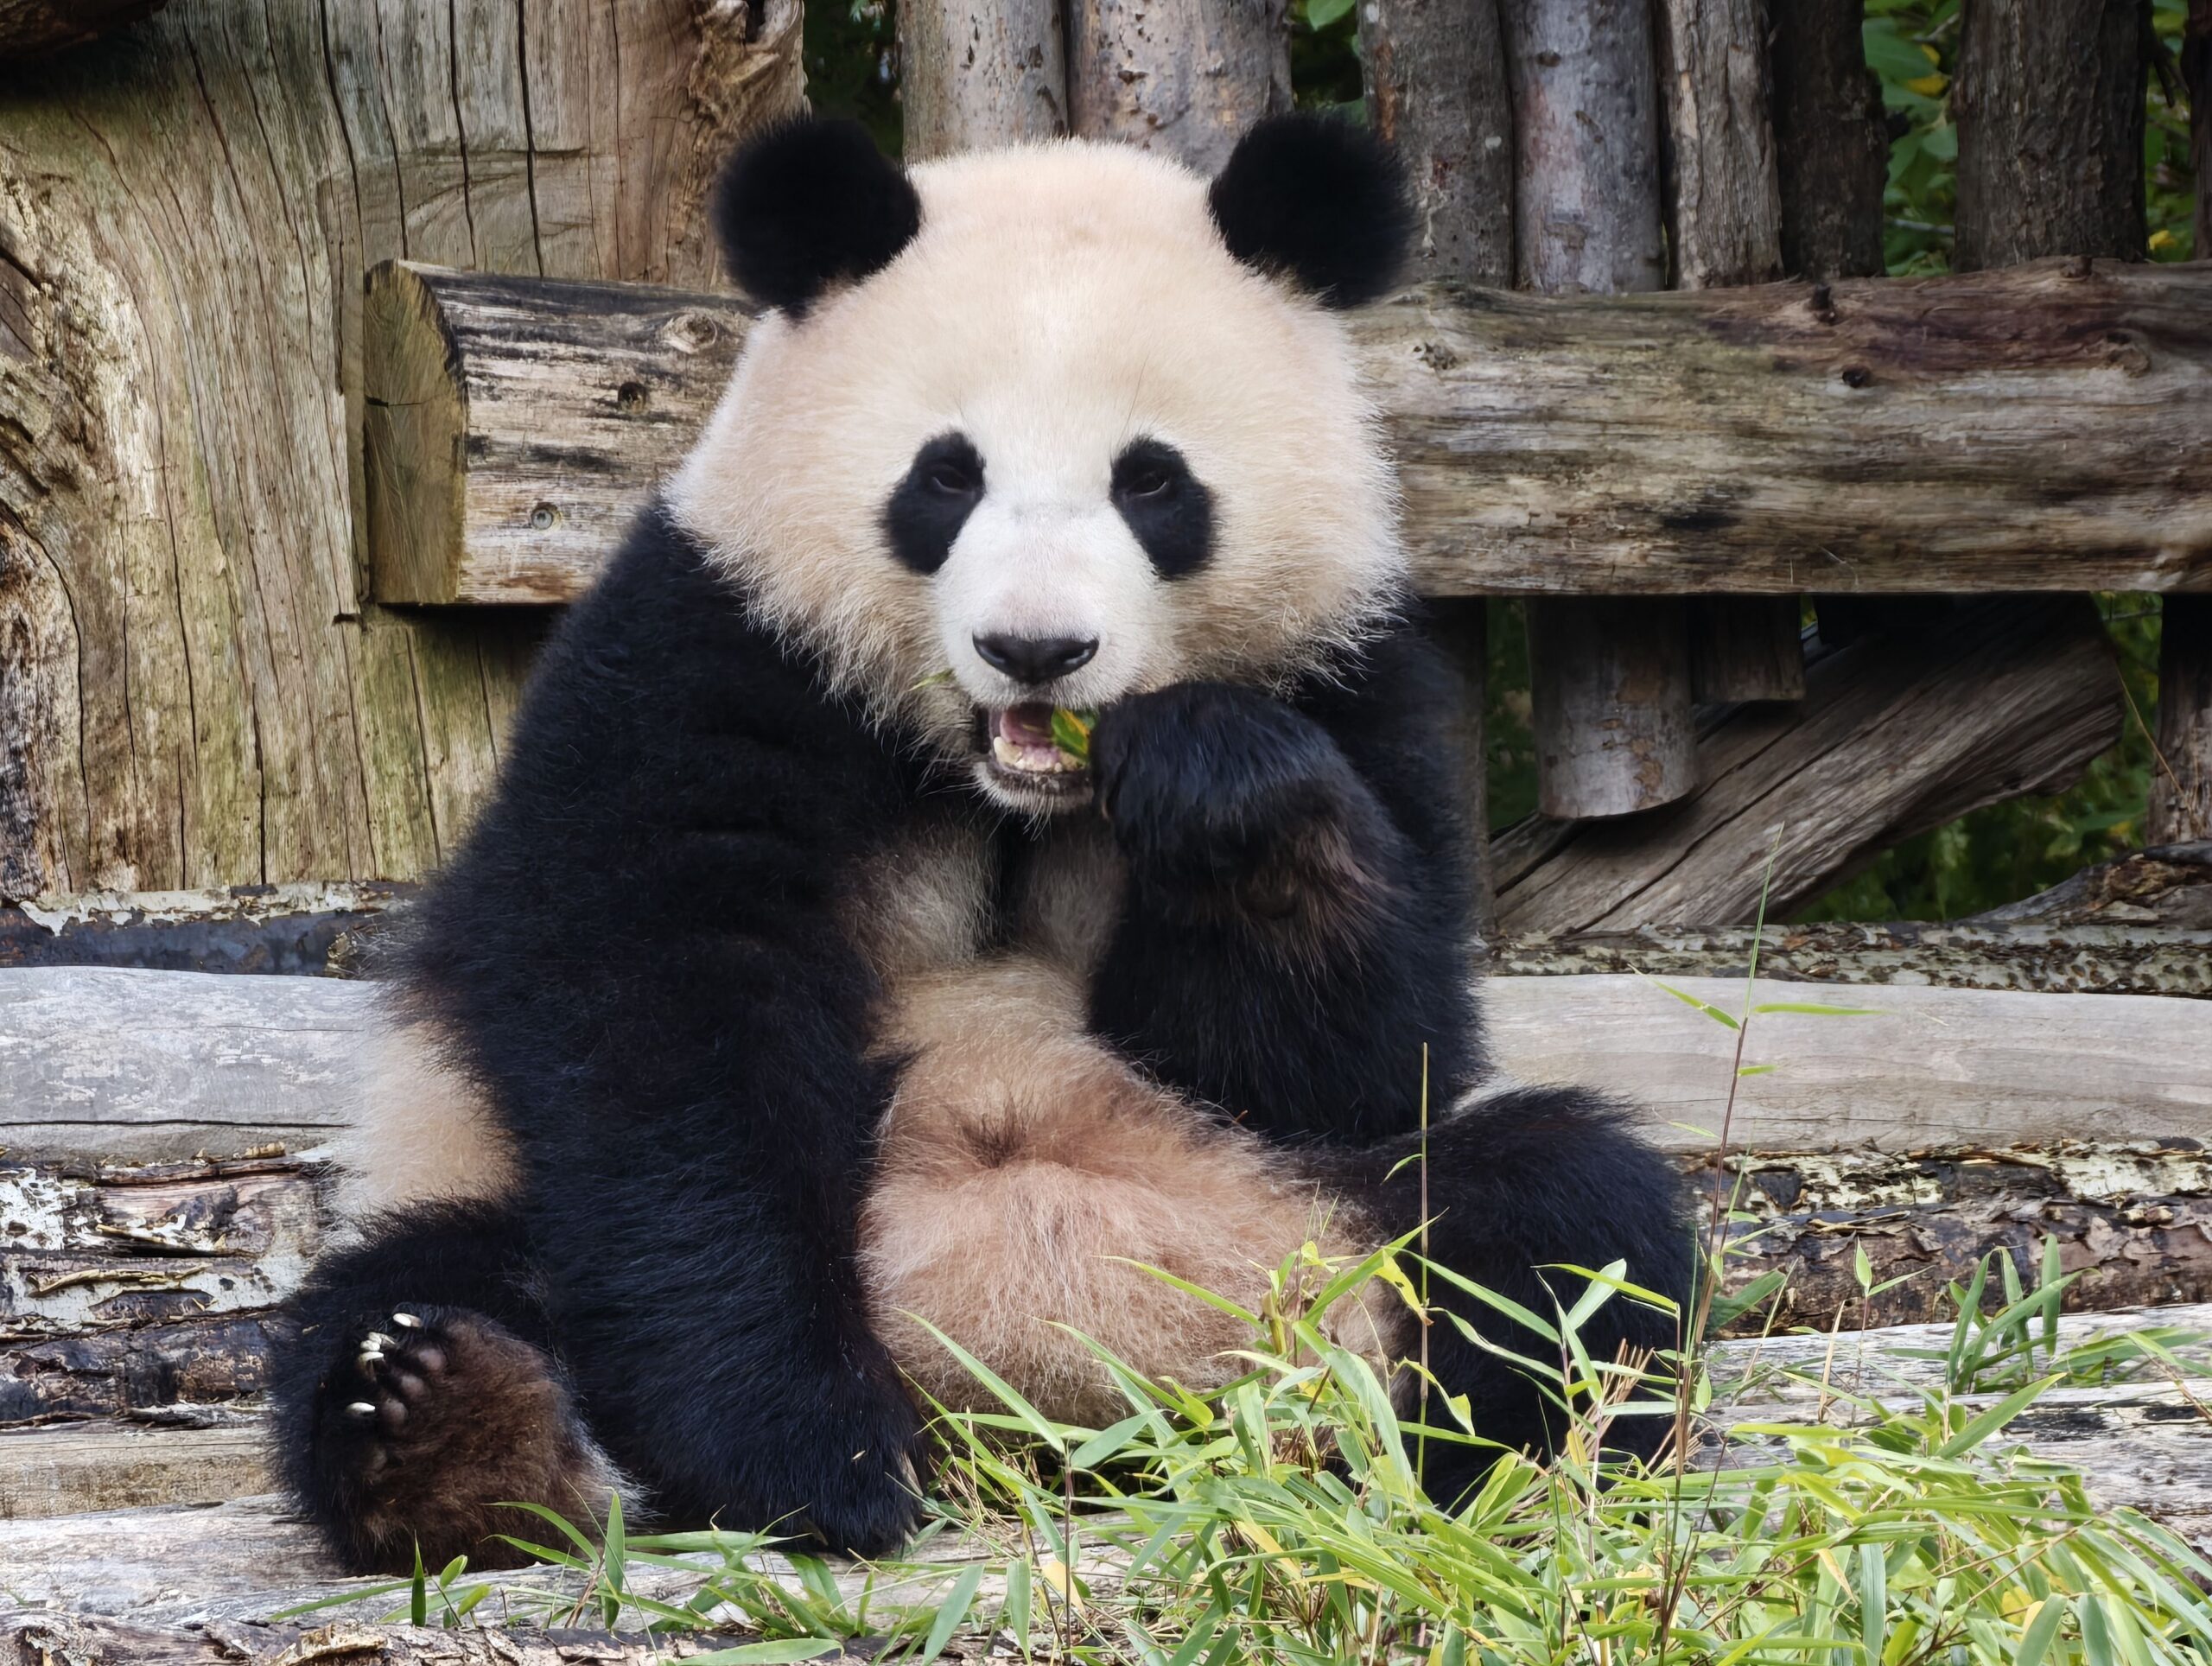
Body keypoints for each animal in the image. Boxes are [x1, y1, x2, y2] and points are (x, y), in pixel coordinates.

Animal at [272, 113, 1691, 1575]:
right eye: (946, 476)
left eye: (1152, 481)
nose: (1036, 650)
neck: (1001, 789)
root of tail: (1035, 1418)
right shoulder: (707, 657)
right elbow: (666, 1037)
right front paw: (810, 1454)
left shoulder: (1356, 683)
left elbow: (1355, 1058)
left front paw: (1219, 787)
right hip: (484, 1184)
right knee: (412, 1288)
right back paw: (457, 1430)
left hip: (1313, 1218)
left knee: (1561, 1225)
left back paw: (1483, 1471)